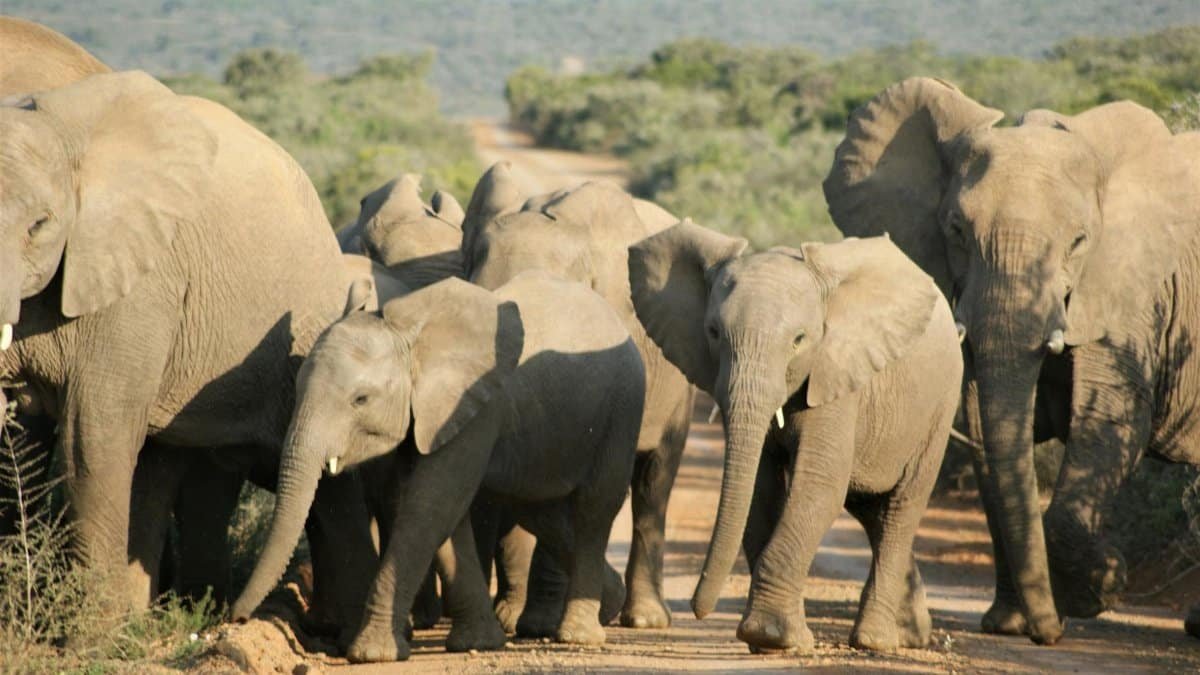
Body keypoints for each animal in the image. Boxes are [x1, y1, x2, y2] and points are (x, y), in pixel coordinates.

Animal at [0, 69, 378, 632]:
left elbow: (92, 434)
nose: (237, 621)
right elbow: (21, 436)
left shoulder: (143, 279)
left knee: (326, 485)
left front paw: (92, 638)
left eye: (39, 225)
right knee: (167, 467)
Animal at [233, 273, 645, 662]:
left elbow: (431, 504)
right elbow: (439, 512)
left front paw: (371, 654)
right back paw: (609, 603)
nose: (235, 617)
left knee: (594, 509)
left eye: (360, 399)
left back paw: (579, 635)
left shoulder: (473, 406)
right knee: (540, 509)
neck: (409, 338)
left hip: (623, 408)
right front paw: (476, 643)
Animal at [628, 222, 961, 653]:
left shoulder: (836, 373)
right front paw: (770, 642)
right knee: (870, 509)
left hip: (939, 407)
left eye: (799, 340)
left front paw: (770, 636)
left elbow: (818, 486)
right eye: (713, 332)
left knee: (900, 508)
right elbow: (761, 488)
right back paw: (911, 634)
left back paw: (876, 640)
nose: (696, 609)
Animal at [823, 76, 1200, 643]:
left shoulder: (1131, 290)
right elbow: (985, 427)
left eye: (1079, 241)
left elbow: (1111, 416)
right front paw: (1009, 625)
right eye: (956, 230)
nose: (1051, 634)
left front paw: (1100, 587)